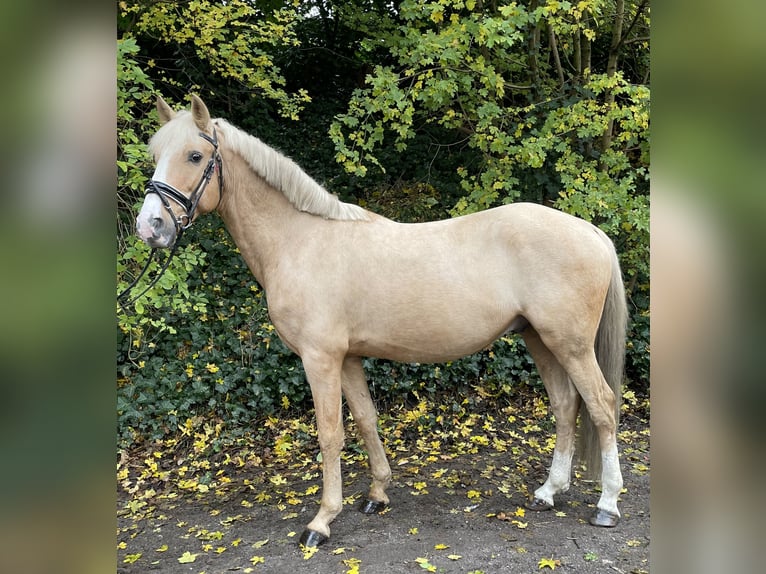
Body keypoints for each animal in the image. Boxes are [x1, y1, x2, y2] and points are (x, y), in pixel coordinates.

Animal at [136, 94, 632, 548]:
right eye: (155, 154)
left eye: (194, 156)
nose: (150, 226)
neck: (300, 241)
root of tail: (591, 230)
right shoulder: (348, 357)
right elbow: (366, 419)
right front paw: (376, 494)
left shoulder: (320, 359)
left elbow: (330, 433)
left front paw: (321, 521)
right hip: (540, 340)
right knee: (566, 406)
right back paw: (548, 492)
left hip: (569, 344)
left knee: (602, 406)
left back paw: (608, 505)